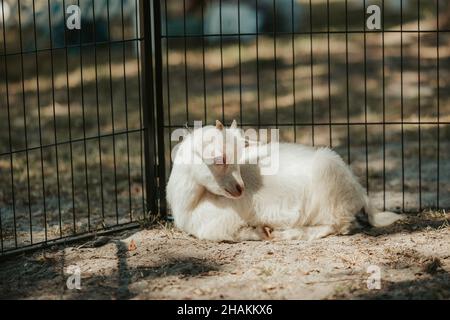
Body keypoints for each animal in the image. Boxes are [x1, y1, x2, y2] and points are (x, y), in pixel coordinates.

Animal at [166, 121, 404, 241]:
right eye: (220, 159)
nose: (240, 188)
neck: (190, 204)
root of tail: (359, 191)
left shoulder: (219, 225)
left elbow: (233, 233)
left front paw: (261, 231)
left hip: (330, 187)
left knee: (339, 225)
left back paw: (289, 233)